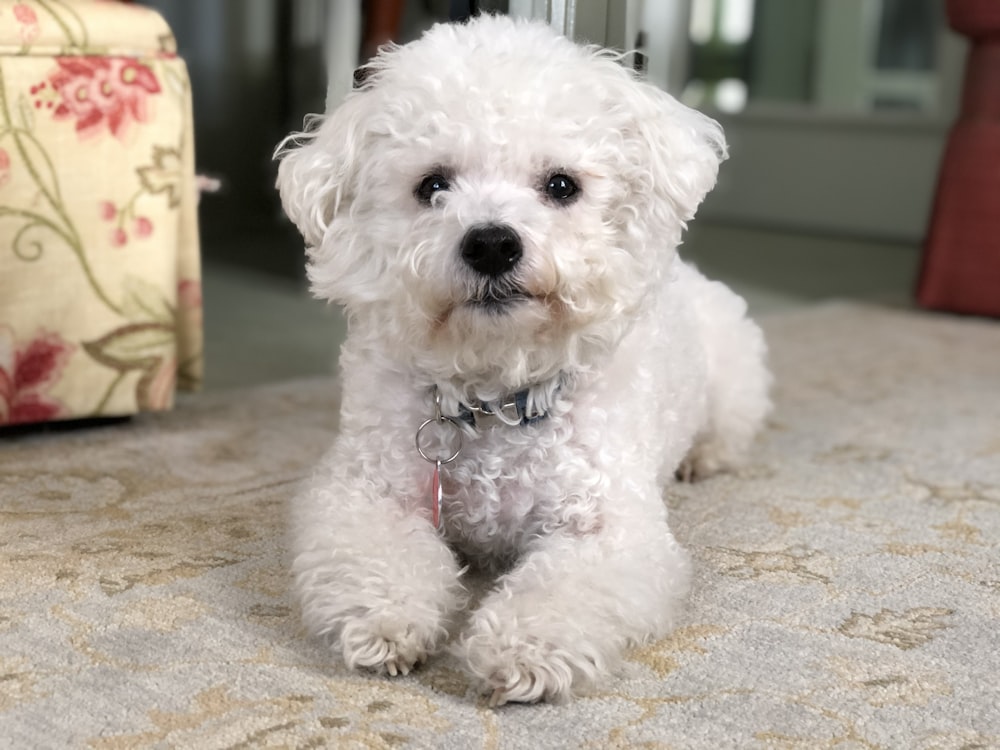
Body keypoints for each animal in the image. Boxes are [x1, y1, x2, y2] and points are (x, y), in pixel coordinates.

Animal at [278, 13, 768, 704]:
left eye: (561, 185)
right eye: (432, 185)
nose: (490, 243)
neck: (496, 394)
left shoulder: (610, 529)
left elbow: (558, 592)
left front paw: (524, 647)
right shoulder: (361, 493)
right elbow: (379, 559)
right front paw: (386, 619)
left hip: (734, 380)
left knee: (728, 432)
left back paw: (701, 460)